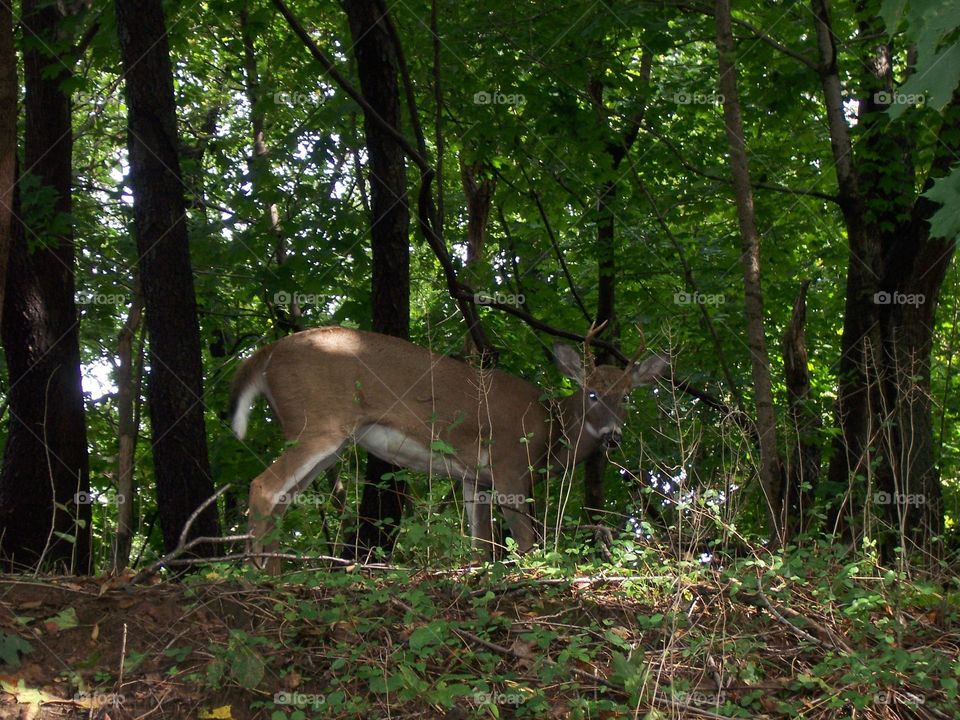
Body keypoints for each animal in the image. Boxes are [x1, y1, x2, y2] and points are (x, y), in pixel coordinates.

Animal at [229, 326, 668, 572]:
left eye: (627, 396)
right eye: (592, 393)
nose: (613, 434)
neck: (552, 427)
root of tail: (265, 355)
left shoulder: (477, 477)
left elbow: (481, 545)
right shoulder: (510, 463)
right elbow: (525, 541)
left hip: (321, 440)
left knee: (283, 500)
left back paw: (276, 576)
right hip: (318, 423)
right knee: (264, 486)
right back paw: (256, 577)